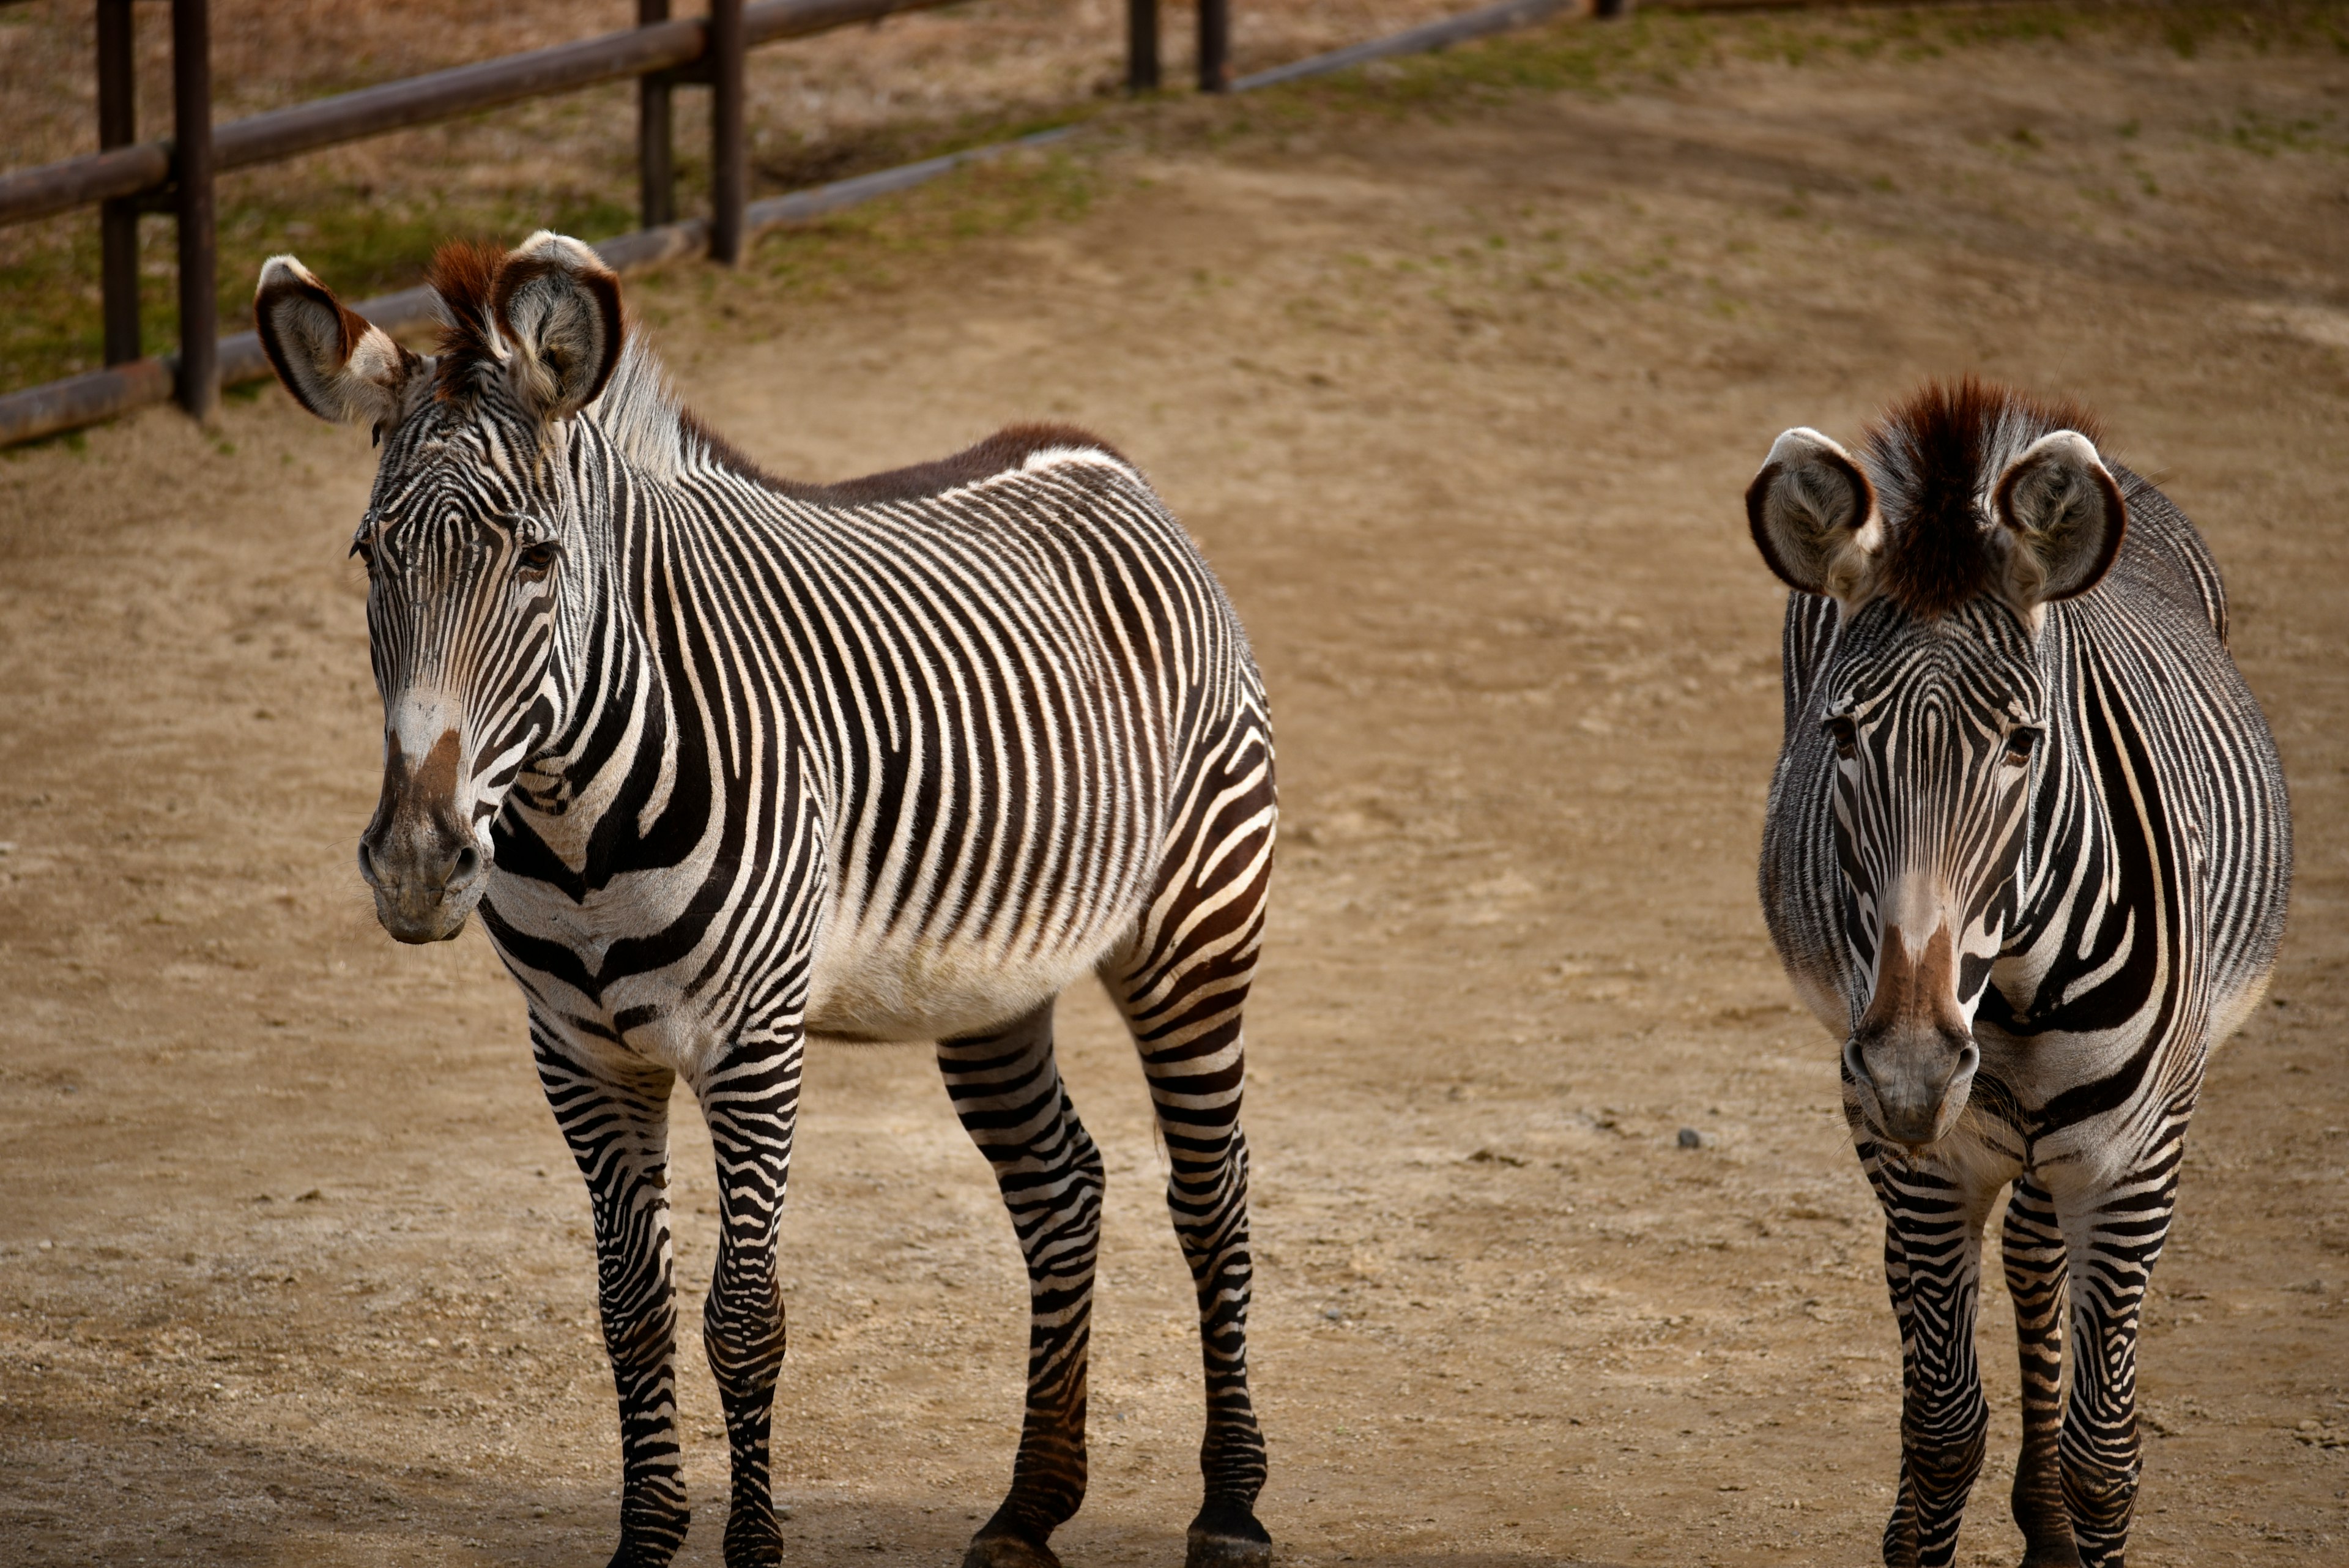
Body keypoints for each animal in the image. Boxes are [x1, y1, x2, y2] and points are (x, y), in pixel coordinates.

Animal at [254, 232, 1277, 1568]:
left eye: (537, 559)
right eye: (372, 557)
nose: (419, 864)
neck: (576, 825)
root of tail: (1098, 455)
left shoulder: (752, 1047)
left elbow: (744, 1316)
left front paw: (750, 1548)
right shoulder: (579, 1054)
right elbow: (628, 1309)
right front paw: (645, 1545)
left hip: (1196, 926)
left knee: (1211, 1192)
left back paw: (1233, 1504)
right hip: (993, 981)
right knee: (1063, 1189)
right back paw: (1028, 1506)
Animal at [1747, 381, 2292, 1568]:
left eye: (2022, 743)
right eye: (1841, 735)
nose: (1912, 1069)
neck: (2018, 985)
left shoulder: (2137, 1159)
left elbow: (2107, 1453)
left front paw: (2072, 1506)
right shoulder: (1922, 1156)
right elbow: (1943, 1424)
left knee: (2038, 1260)